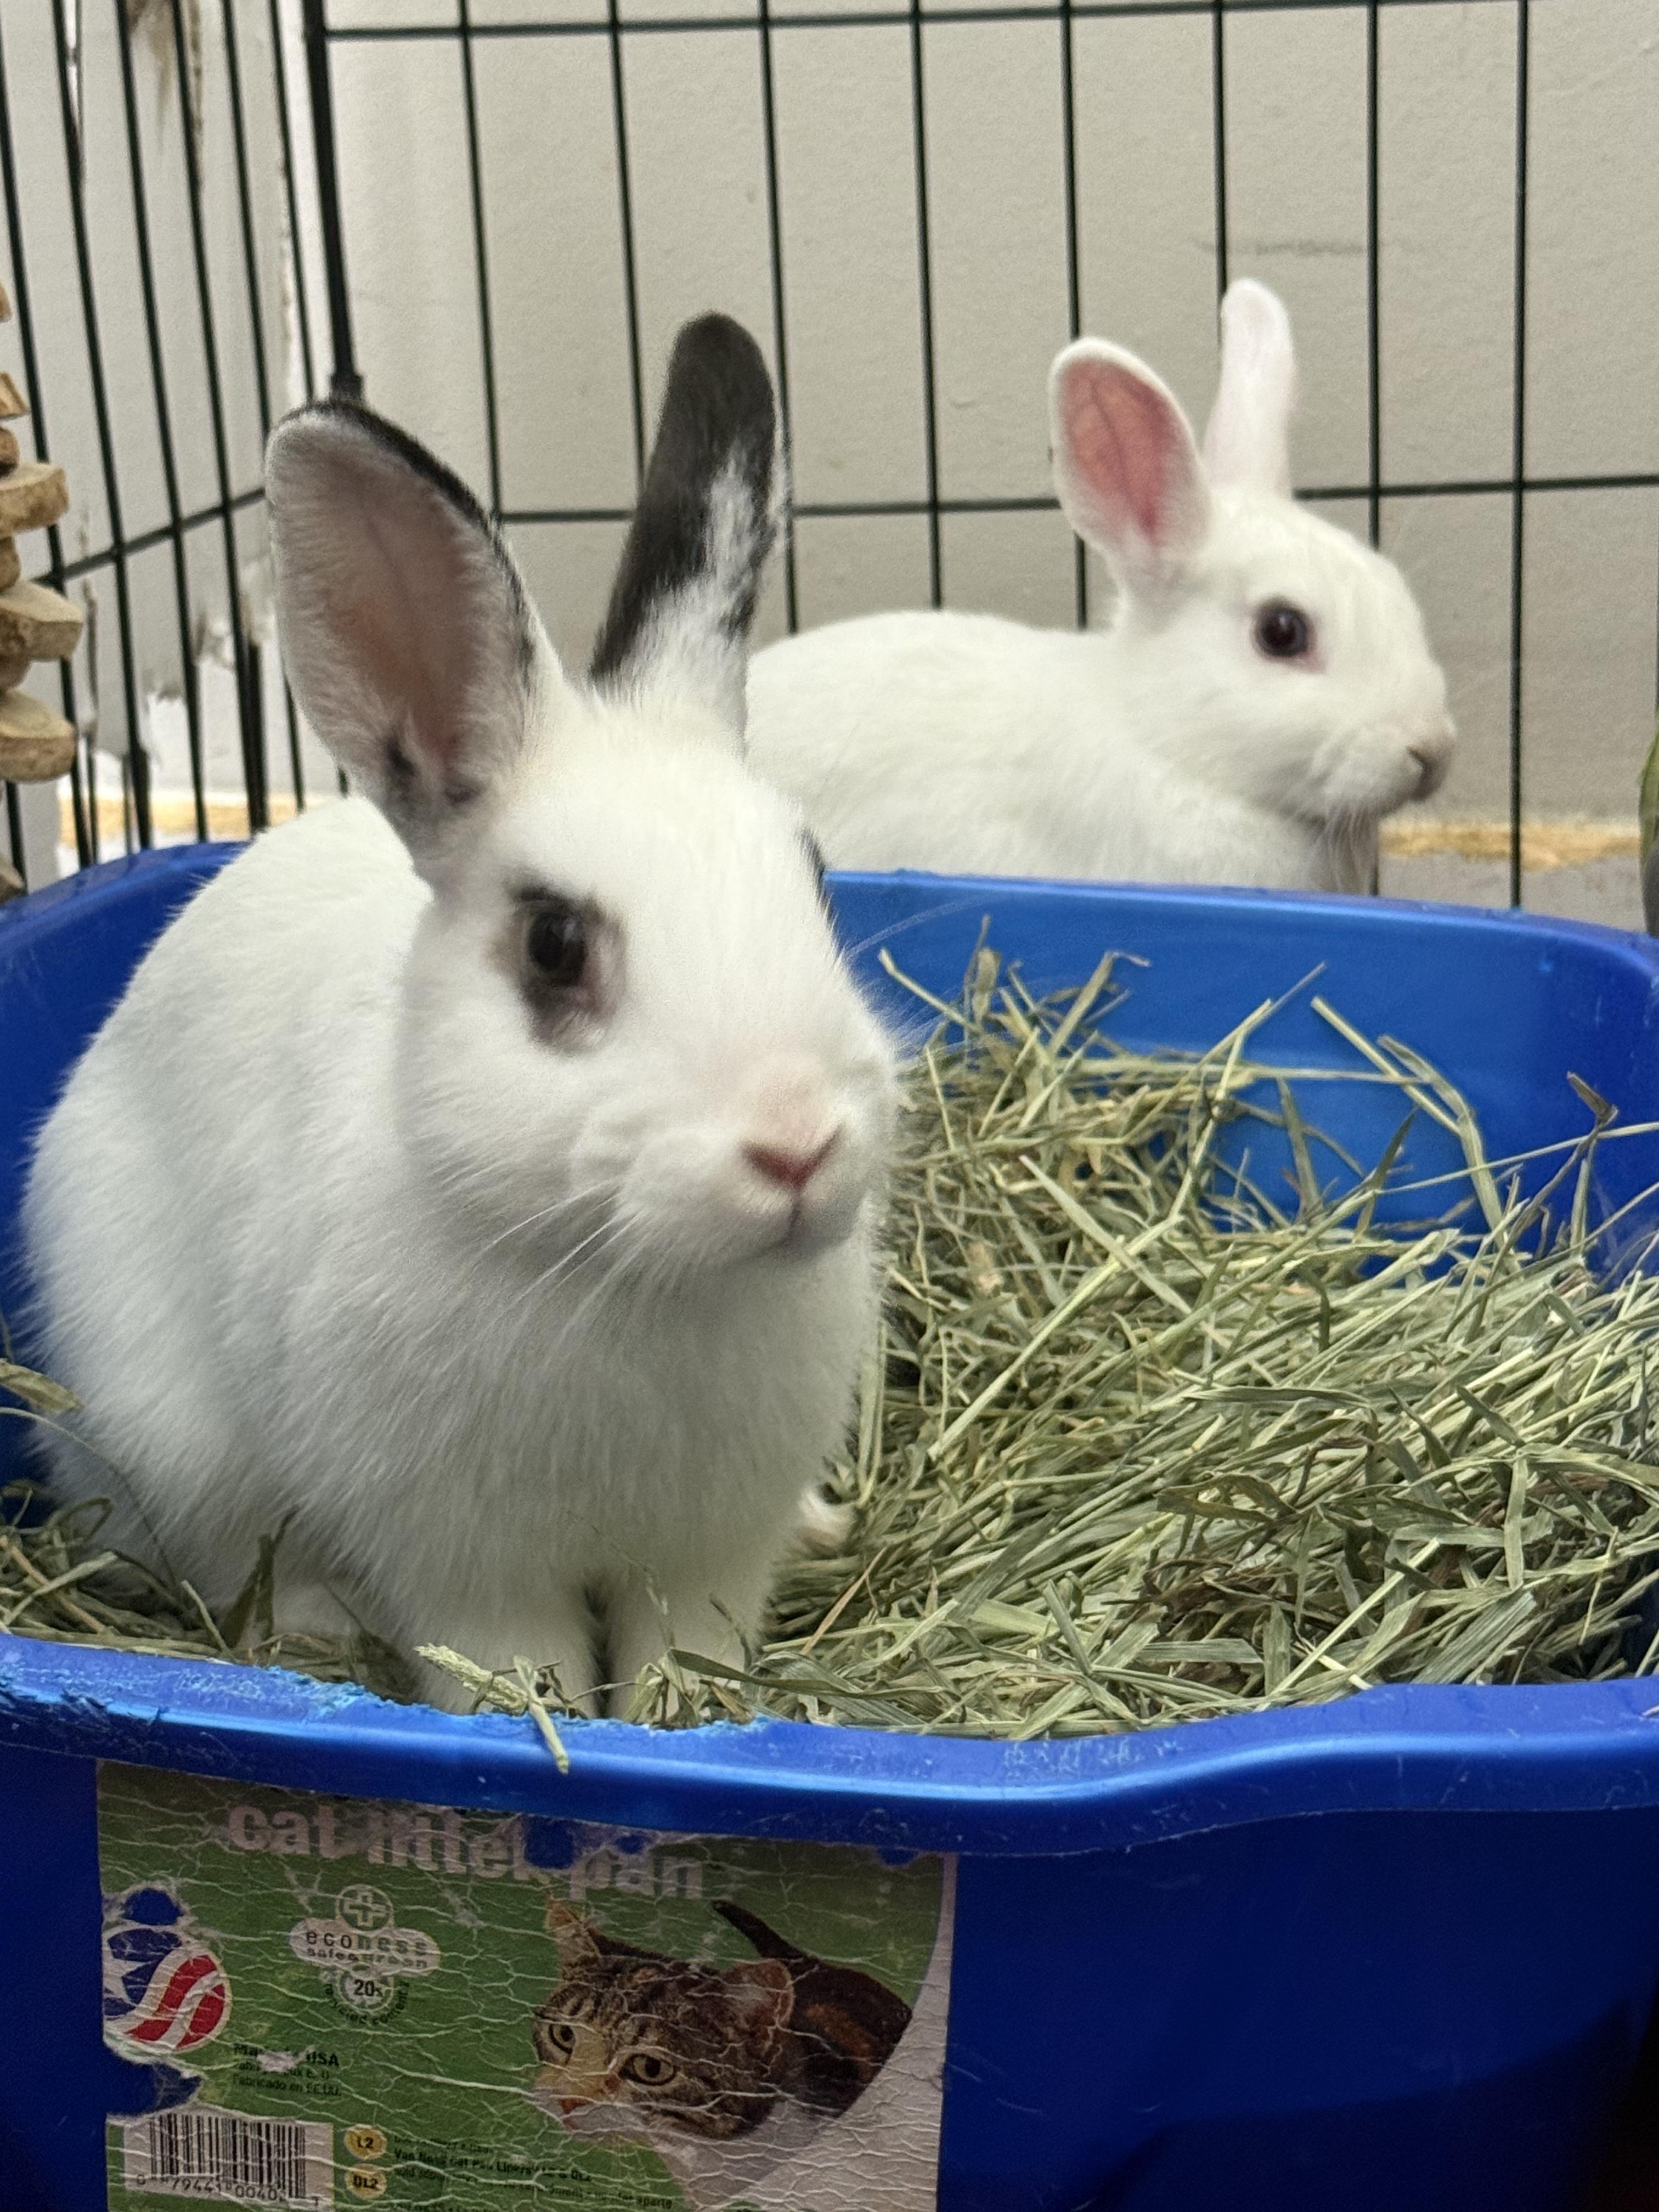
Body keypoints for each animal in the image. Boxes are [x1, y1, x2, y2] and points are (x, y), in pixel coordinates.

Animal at [22, 313, 898, 1718]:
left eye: (814, 879)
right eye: (553, 946)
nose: (798, 1147)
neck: (631, 1281)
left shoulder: (707, 1559)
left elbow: (688, 1663)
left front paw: (685, 1723)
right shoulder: (466, 1572)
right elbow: (511, 1675)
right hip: (169, 1434)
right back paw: (314, 1632)